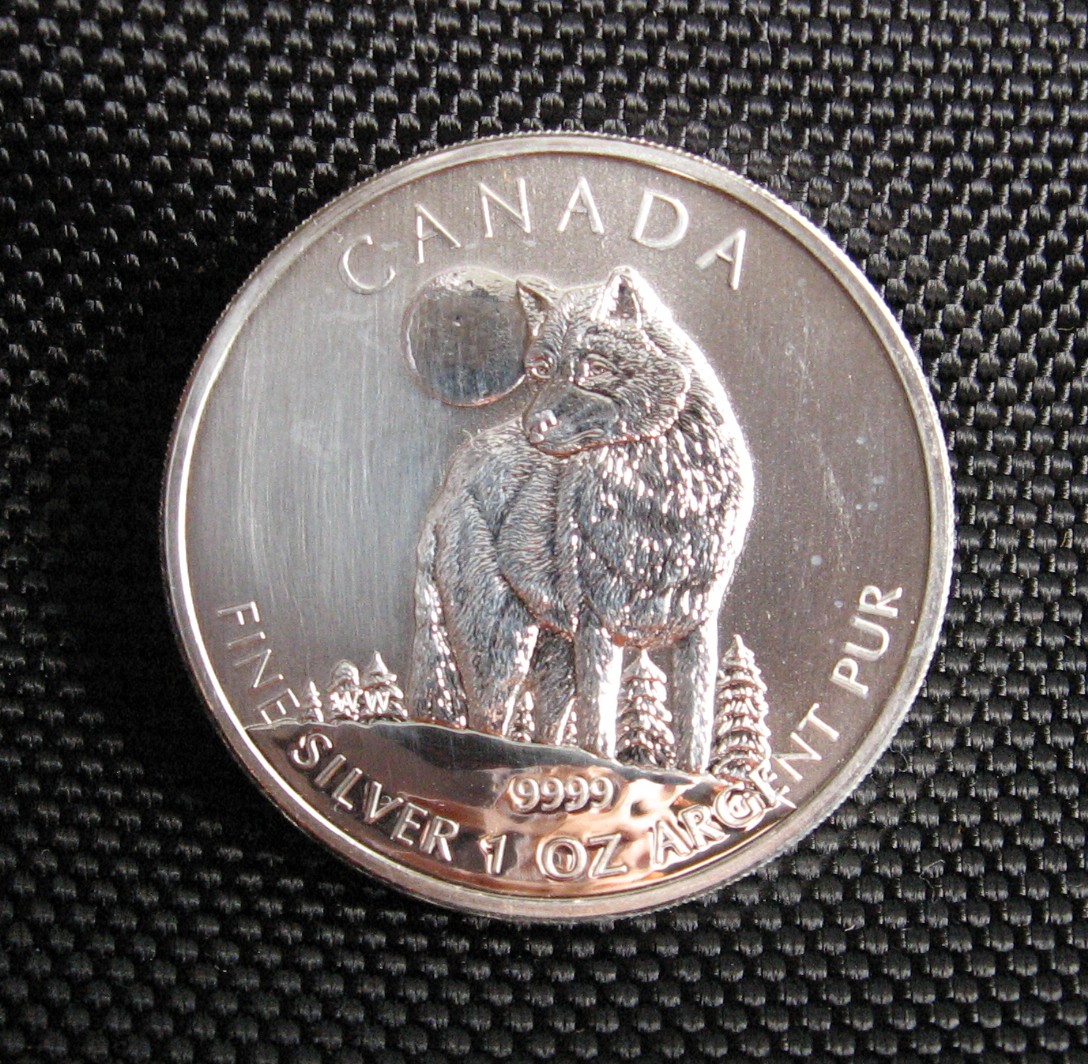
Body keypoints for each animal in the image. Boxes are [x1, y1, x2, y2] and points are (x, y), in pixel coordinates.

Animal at [407, 265, 754, 774]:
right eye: (540, 369)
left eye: (594, 369)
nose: (533, 426)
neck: (664, 503)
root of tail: (450, 479)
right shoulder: (597, 626)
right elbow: (599, 728)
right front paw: (607, 774)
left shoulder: (697, 626)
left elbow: (695, 728)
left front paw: (695, 781)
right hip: (502, 650)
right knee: (486, 722)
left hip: (555, 659)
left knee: (543, 729)